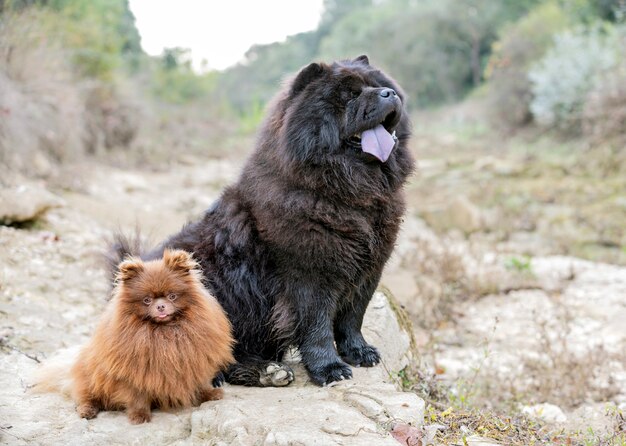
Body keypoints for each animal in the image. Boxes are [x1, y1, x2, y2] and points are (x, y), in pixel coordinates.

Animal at [35, 249, 234, 424]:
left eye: (172, 296)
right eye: (147, 300)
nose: (161, 306)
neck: (164, 332)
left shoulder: (194, 362)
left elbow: (200, 382)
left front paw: (209, 394)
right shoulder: (133, 373)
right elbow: (138, 396)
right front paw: (139, 415)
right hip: (90, 375)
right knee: (86, 396)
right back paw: (87, 410)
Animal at [111, 54, 414, 386]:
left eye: (379, 85)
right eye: (349, 96)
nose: (389, 94)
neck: (348, 194)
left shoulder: (368, 269)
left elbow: (352, 317)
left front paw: (359, 352)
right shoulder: (310, 275)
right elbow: (317, 325)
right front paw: (329, 369)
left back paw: (270, 370)